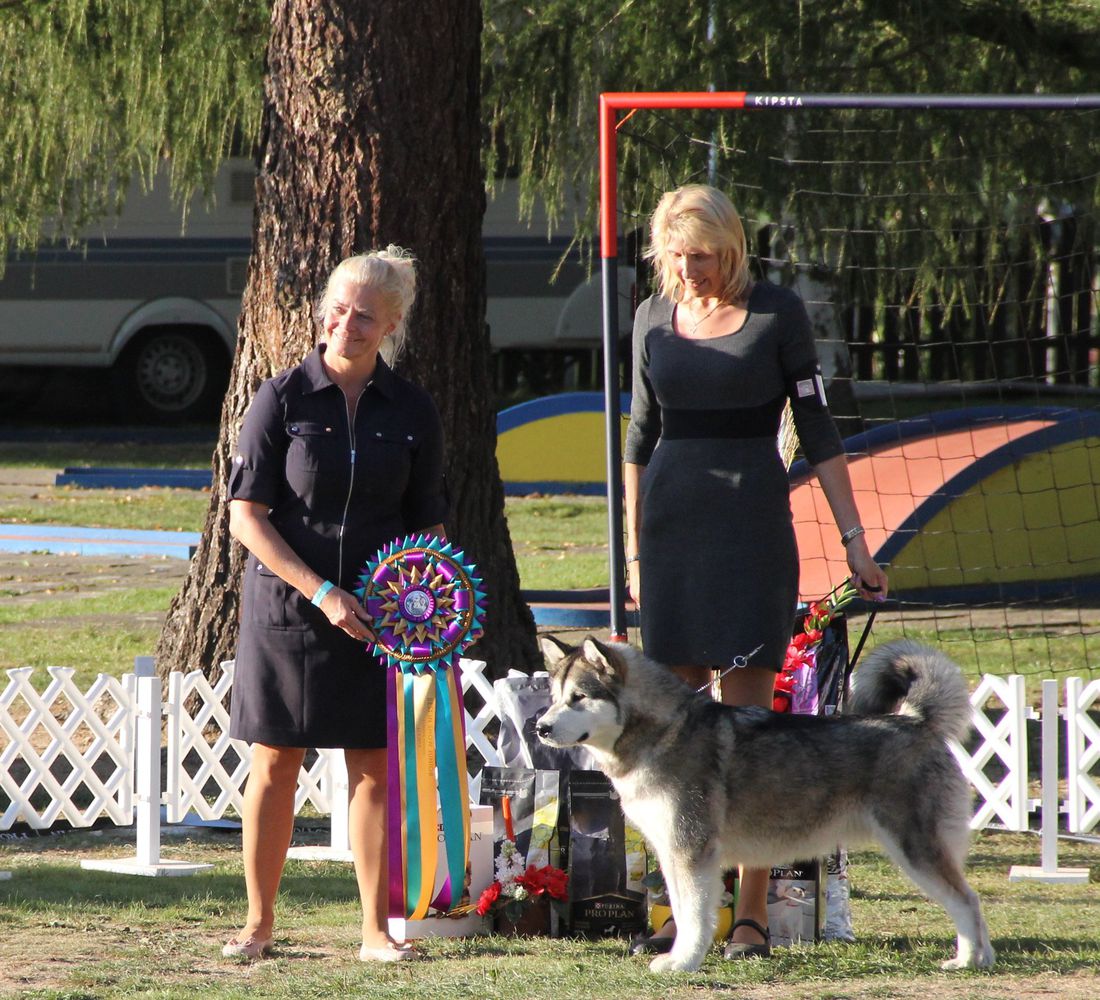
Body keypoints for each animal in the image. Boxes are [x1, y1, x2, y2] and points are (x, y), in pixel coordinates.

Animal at [534, 638, 998, 972]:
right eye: (553, 696)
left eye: (579, 697)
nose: (540, 727)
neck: (663, 733)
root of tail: (917, 721)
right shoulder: (673, 853)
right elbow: (683, 912)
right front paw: (680, 955)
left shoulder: (691, 852)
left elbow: (695, 917)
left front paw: (682, 963)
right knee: (964, 901)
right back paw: (978, 958)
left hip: (915, 848)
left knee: (967, 901)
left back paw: (969, 960)